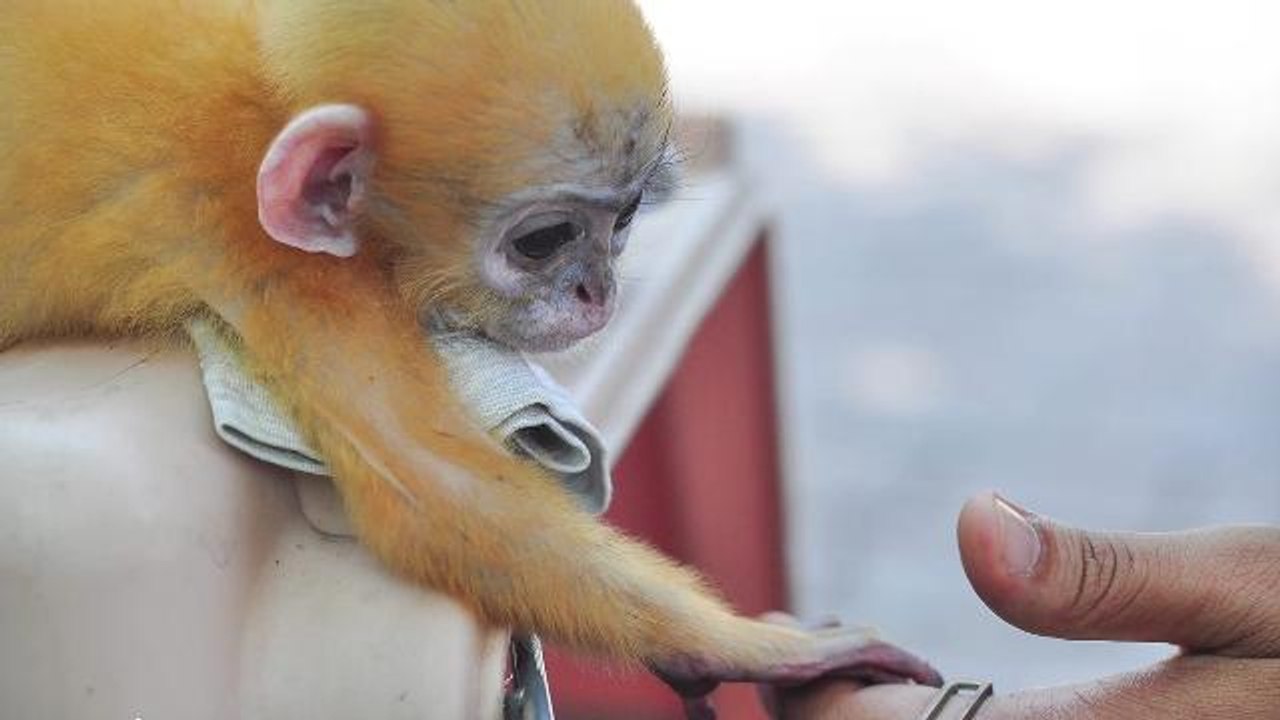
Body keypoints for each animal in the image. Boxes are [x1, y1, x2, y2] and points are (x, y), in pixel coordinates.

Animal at [0, 0, 940, 707]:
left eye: (625, 220)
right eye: (547, 240)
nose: (598, 290)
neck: (262, 97)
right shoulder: (273, 252)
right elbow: (432, 491)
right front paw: (738, 650)